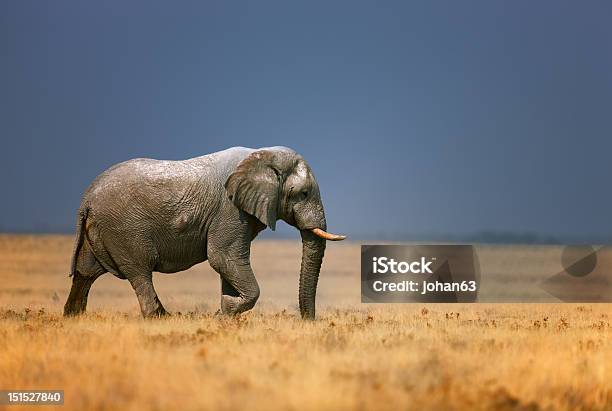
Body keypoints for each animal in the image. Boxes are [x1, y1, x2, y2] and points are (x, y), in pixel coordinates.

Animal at [65, 146, 350, 320]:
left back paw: (73, 317)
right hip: (125, 229)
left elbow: (228, 264)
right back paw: (161, 318)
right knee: (140, 272)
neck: (261, 156)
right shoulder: (229, 209)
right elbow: (222, 258)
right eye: (303, 193)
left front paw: (224, 311)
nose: (308, 322)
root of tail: (86, 199)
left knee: (85, 272)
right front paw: (223, 312)